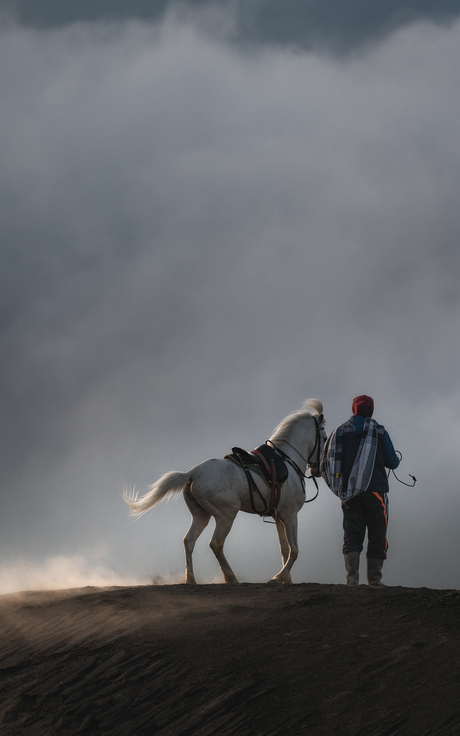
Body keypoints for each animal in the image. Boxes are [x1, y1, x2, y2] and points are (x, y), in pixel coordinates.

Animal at [124, 400, 326, 584]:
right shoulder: (290, 515)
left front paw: (286, 580)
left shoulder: (279, 516)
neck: (286, 460)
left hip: (201, 515)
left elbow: (284, 549)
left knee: (189, 541)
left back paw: (191, 579)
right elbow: (294, 550)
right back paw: (230, 578)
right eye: (324, 438)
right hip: (226, 515)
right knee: (216, 543)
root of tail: (193, 473)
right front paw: (278, 578)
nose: (318, 469)